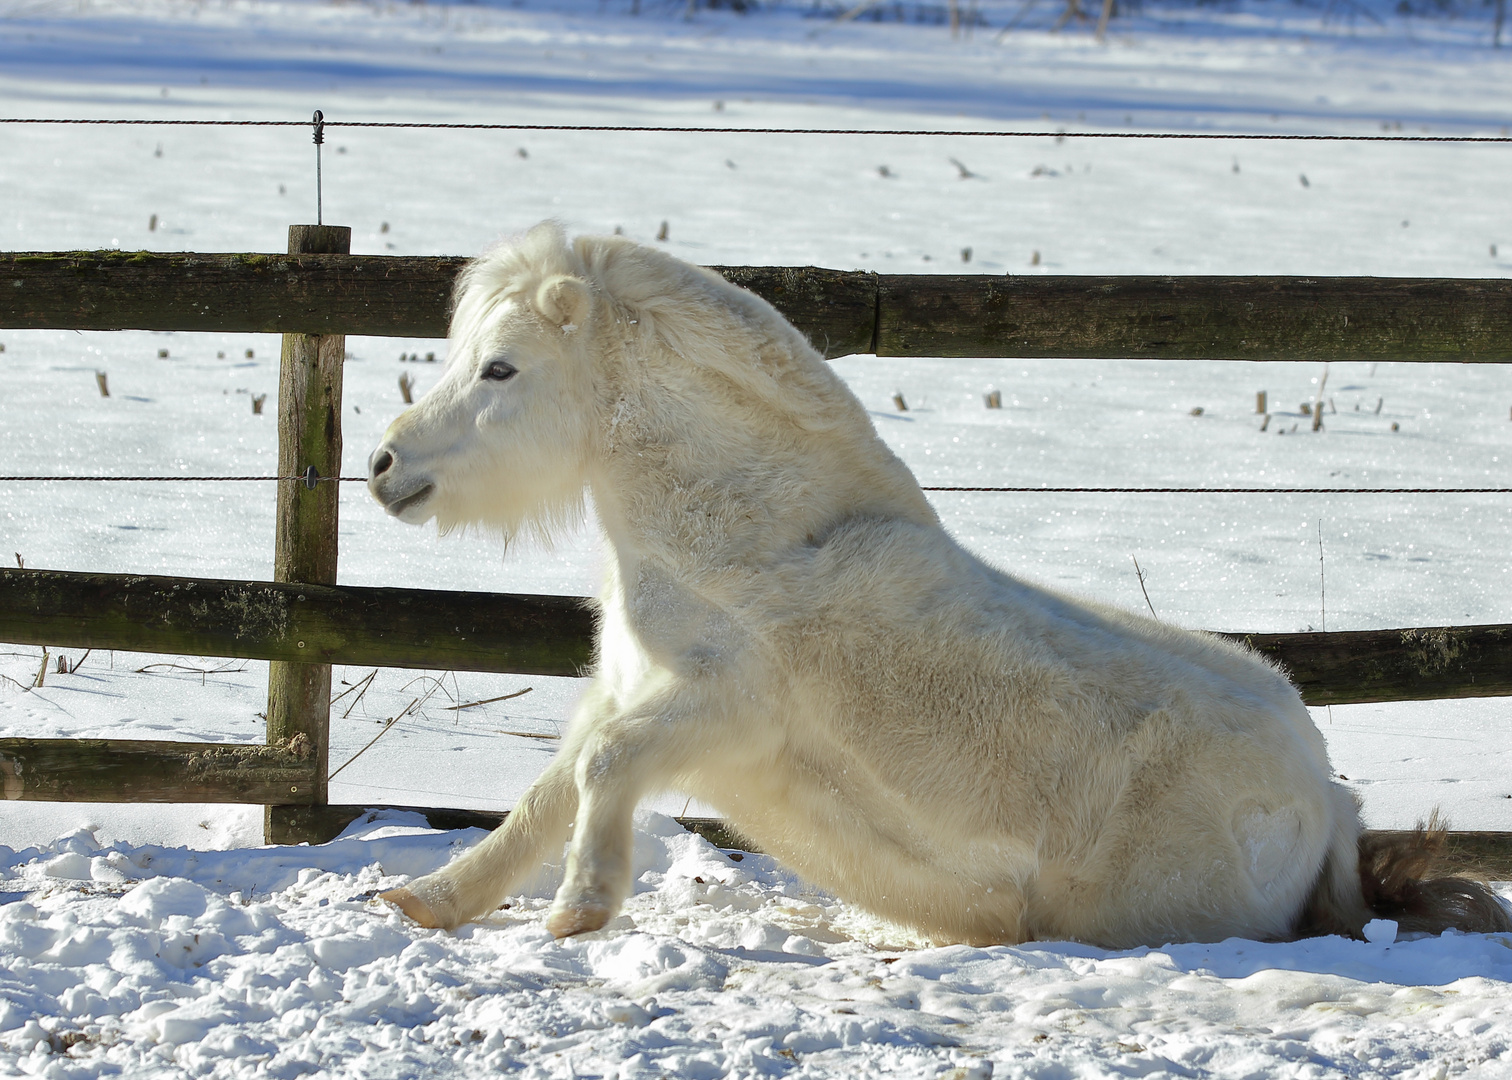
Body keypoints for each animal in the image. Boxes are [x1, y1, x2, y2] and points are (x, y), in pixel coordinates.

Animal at [368, 222, 1512, 943]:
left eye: (502, 369)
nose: (385, 467)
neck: (750, 544)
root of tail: (1328, 802)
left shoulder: (725, 712)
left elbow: (604, 771)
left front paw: (581, 910)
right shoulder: (628, 694)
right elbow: (544, 799)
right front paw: (428, 900)